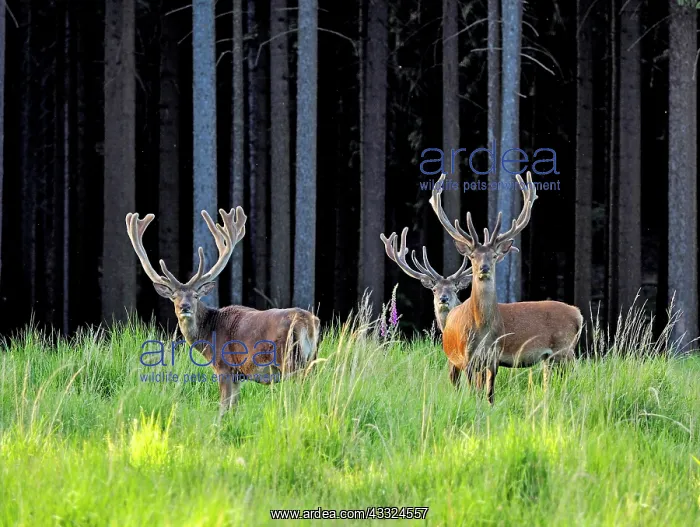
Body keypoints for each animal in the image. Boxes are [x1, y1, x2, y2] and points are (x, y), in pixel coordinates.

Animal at [125, 207, 320, 416]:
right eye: (174, 297)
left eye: (196, 296)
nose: (184, 307)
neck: (208, 334)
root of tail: (307, 322)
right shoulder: (238, 376)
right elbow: (234, 408)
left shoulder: (224, 367)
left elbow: (223, 407)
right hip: (312, 359)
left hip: (290, 360)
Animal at [425, 171, 583, 403]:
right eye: (473, 256)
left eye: (494, 255)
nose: (484, 268)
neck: (482, 329)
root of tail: (578, 314)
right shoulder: (470, 358)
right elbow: (480, 393)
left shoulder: (493, 356)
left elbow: (488, 393)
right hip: (553, 356)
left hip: (563, 349)